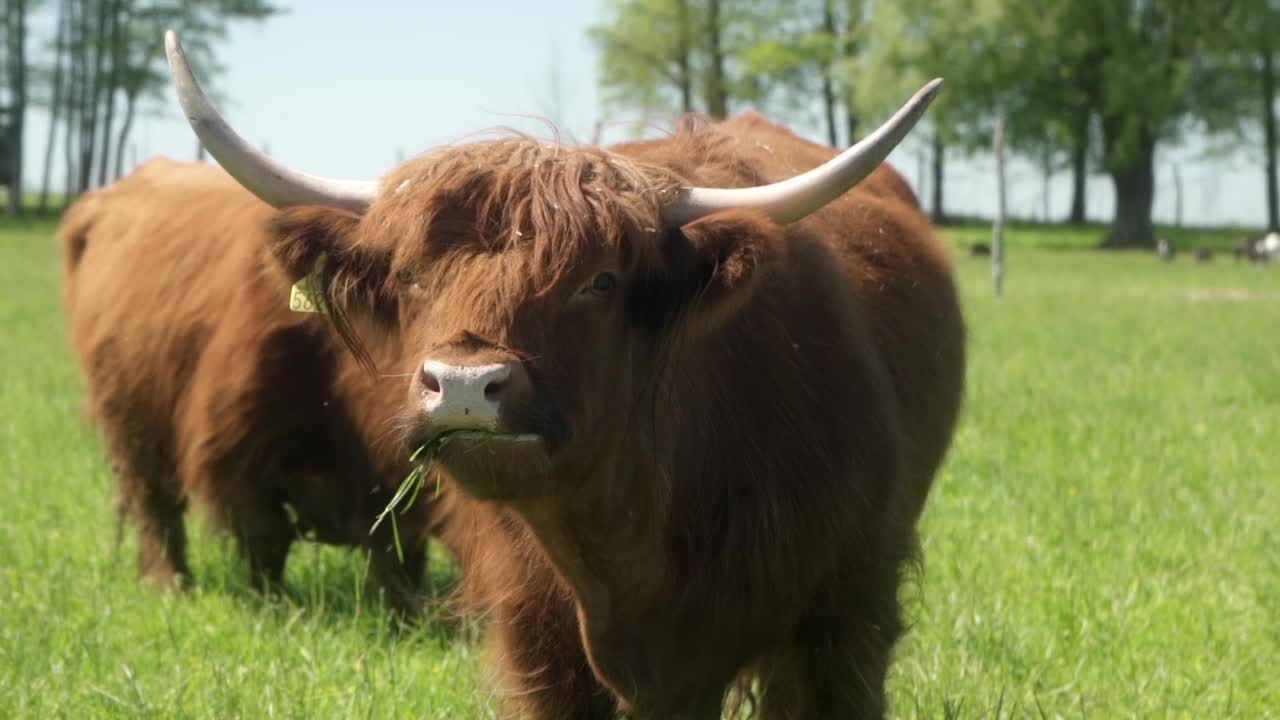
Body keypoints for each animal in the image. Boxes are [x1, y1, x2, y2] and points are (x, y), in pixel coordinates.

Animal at [58, 156, 435, 609]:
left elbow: (399, 554)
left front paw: (408, 611)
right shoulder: (238, 452)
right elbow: (266, 539)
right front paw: (272, 605)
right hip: (128, 419)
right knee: (154, 503)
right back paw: (168, 584)